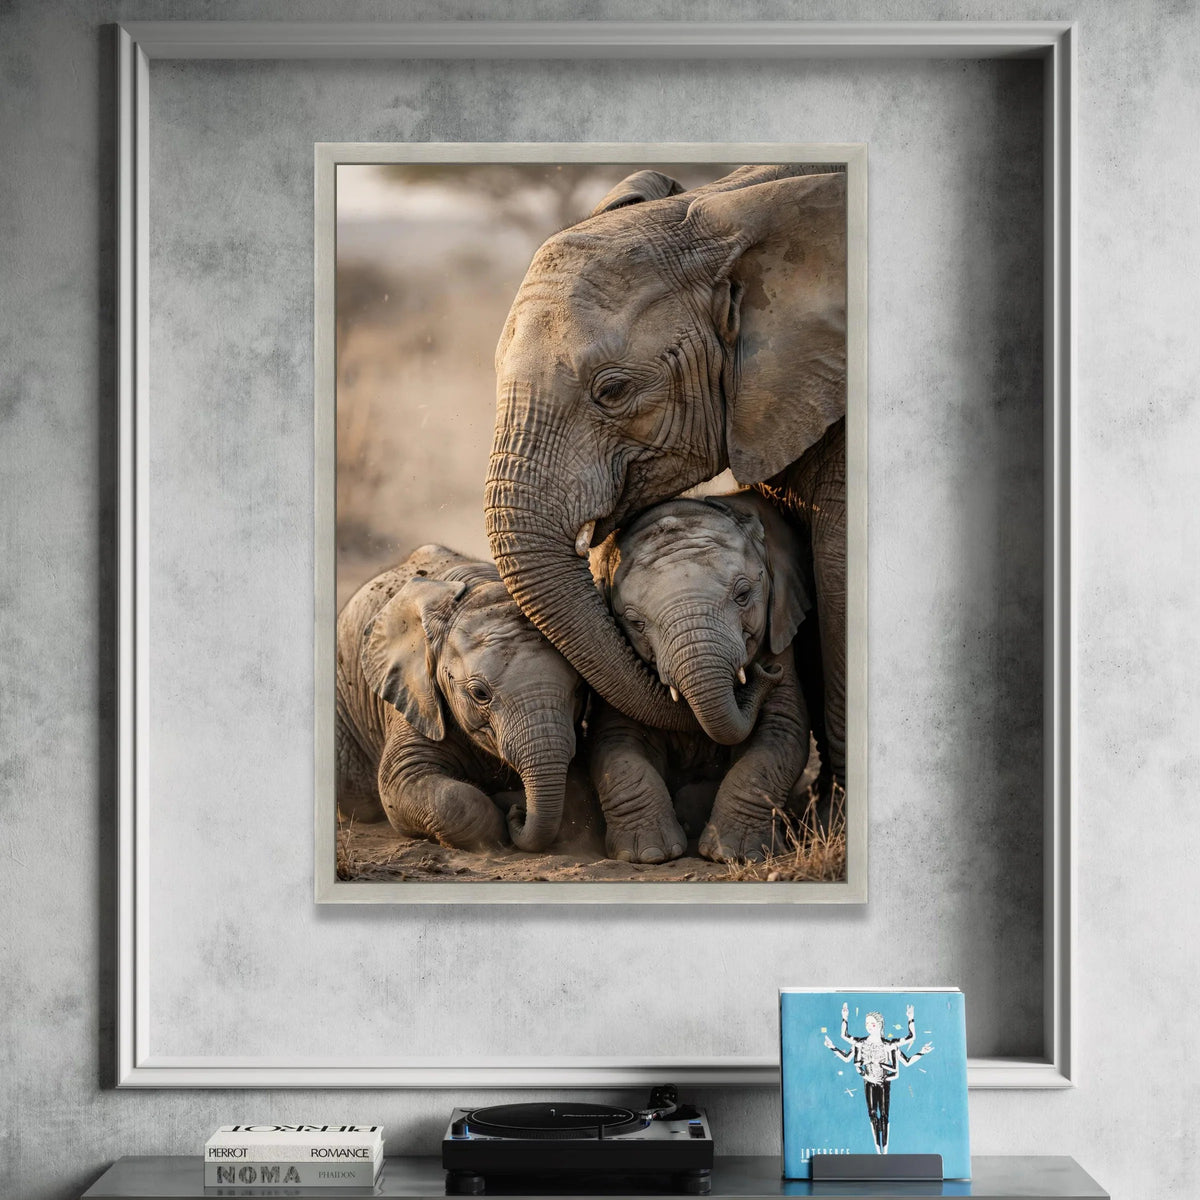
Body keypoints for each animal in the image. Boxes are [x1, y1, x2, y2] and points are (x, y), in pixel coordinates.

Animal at [335, 545, 584, 853]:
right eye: (480, 694)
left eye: (579, 690)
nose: (520, 811)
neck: (482, 588)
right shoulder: (417, 695)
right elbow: (405, 782)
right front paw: (504, 810)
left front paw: (508, 799)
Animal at [588, 490, 812, 862]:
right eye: (635, 622)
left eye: (743, 595)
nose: (768, 672)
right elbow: (616, 747)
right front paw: (649, 854)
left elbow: (780, 737)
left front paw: (735, 855)